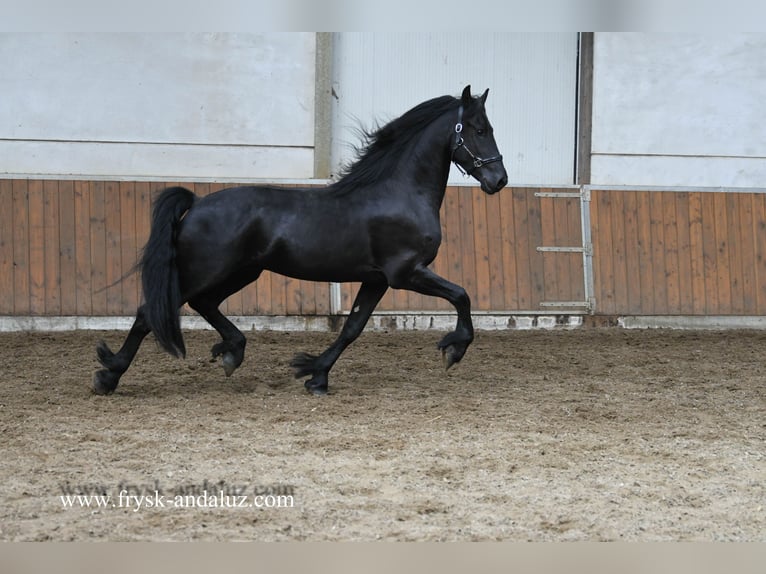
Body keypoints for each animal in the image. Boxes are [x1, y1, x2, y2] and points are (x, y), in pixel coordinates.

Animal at [93, 85, 508, 395]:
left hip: (243, 271)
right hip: (205, 270)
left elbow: (352, 328)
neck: (400, 193)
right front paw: (454, 349)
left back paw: (232, 353)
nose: (499, 180)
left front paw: (316, 375)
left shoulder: (376, 280)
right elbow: (462, 295)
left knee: (204, 304)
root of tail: (196, 203)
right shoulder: (406, 273)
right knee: (151, 313)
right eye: (479, 129)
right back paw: (109, 376)